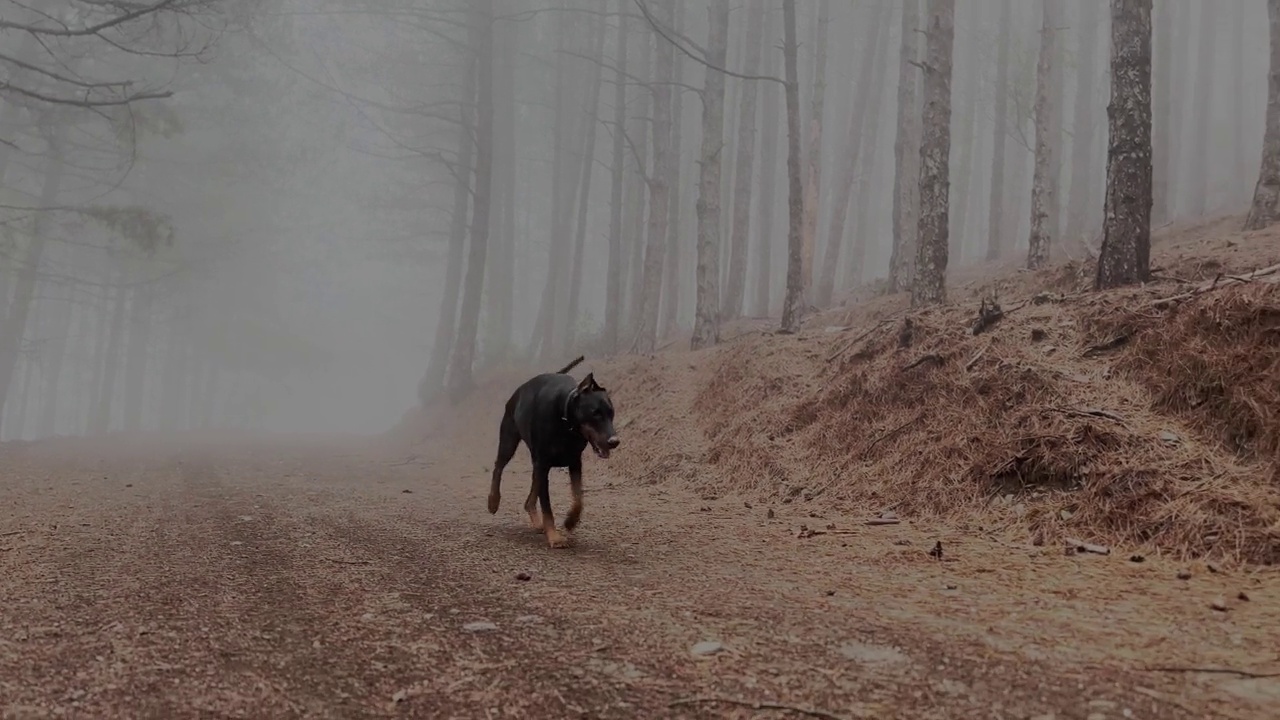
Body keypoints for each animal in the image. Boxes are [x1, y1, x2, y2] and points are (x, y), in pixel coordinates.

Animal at [483, 356, 619, 545]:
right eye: (595, 413)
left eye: (611, 413)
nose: (614, 441)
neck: (565, 418)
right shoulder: (543, 462)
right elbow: (547, 505)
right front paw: (554, 537)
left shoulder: (574, 462)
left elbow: (578, 498)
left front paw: (570, 521)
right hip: (509, 440)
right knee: (498, 467)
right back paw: (493, 501)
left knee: (530, 496)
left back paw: (536, 521)